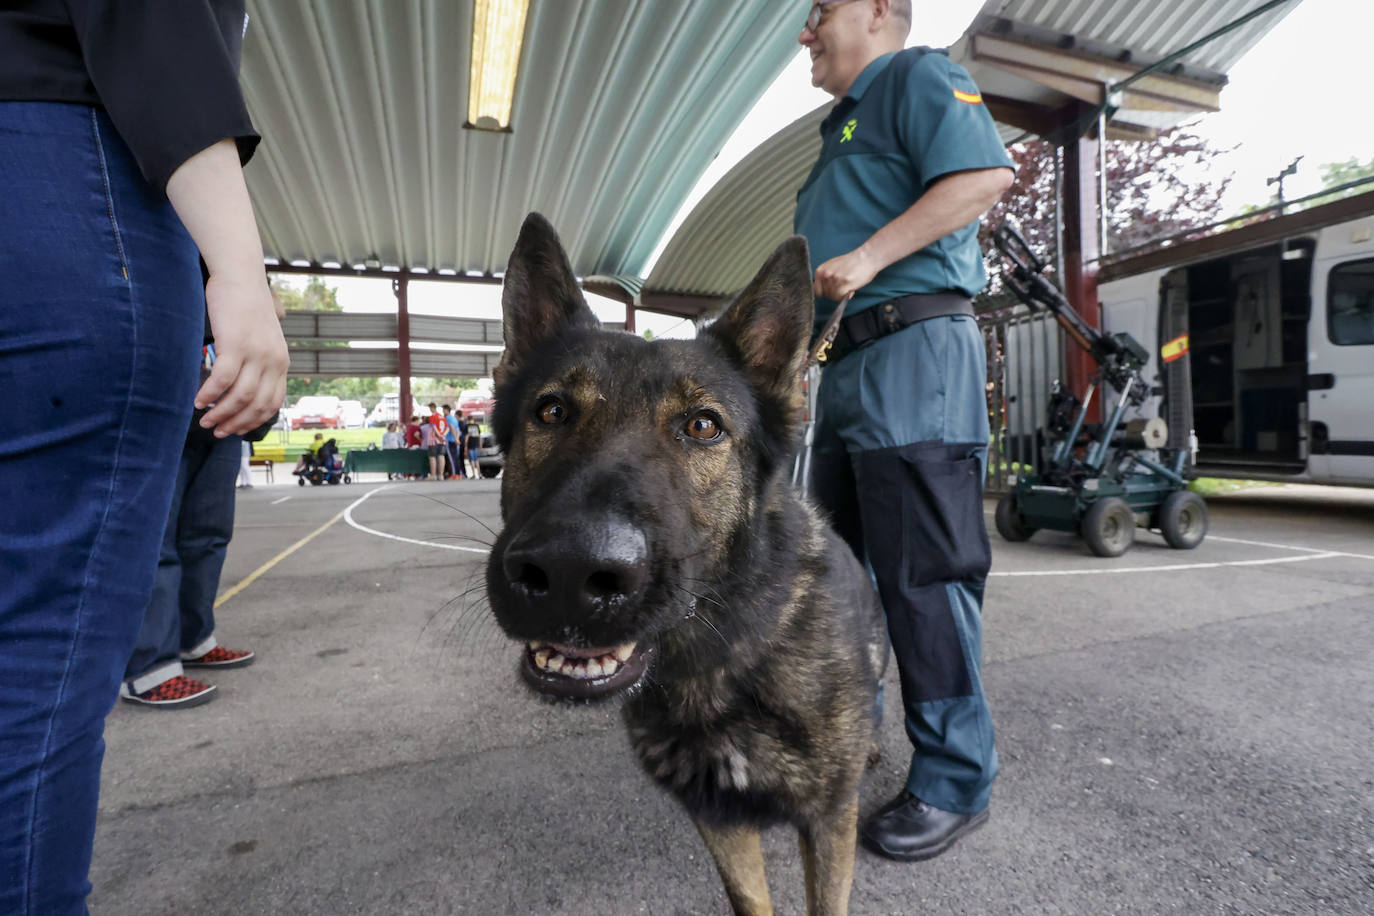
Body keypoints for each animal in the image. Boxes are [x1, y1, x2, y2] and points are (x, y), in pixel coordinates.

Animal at [489, 215, 884, 916]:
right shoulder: (717, 817)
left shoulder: (830, 821)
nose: (568, 574)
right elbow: (751, 900)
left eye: (703, 426)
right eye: (552, 411)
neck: (719, 660)